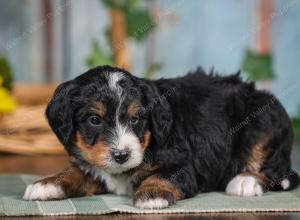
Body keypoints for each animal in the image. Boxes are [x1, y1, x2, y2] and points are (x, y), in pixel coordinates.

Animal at [22, 65, 298, 208]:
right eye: (94, 120)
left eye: (135, 119)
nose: (121, 155)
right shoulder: (94, 166)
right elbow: (77, 173)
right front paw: (47, 184)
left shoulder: (183, 164)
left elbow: (163, 175)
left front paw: (151, 193)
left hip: (263, 119)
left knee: (270, 167)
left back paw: (245, 181)